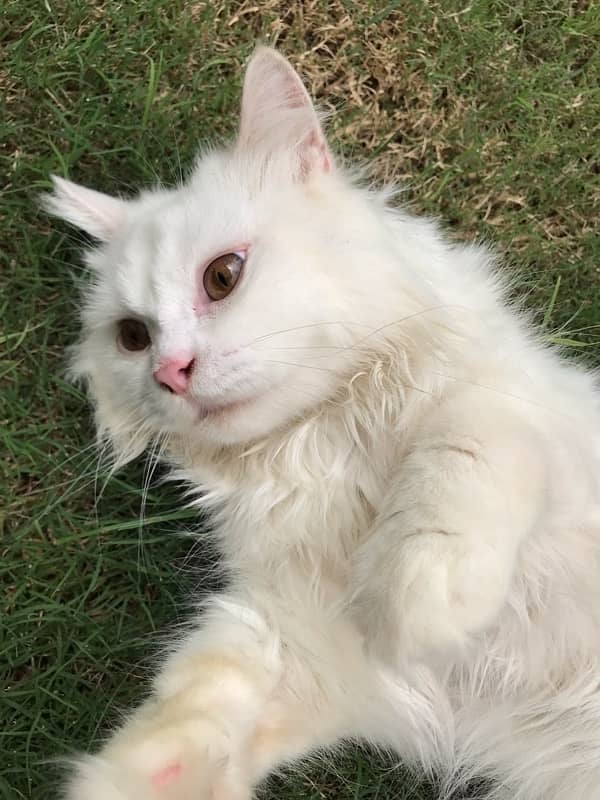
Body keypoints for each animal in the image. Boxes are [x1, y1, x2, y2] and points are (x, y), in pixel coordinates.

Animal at [44, 47, 600, 796]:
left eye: (223, 276)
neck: (322, 447)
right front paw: (125, 779)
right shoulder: (304, 641)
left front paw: (422, 593)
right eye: (132, 338)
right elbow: (198, 700)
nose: (170, 372)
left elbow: (469, 435)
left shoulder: (535, 435)